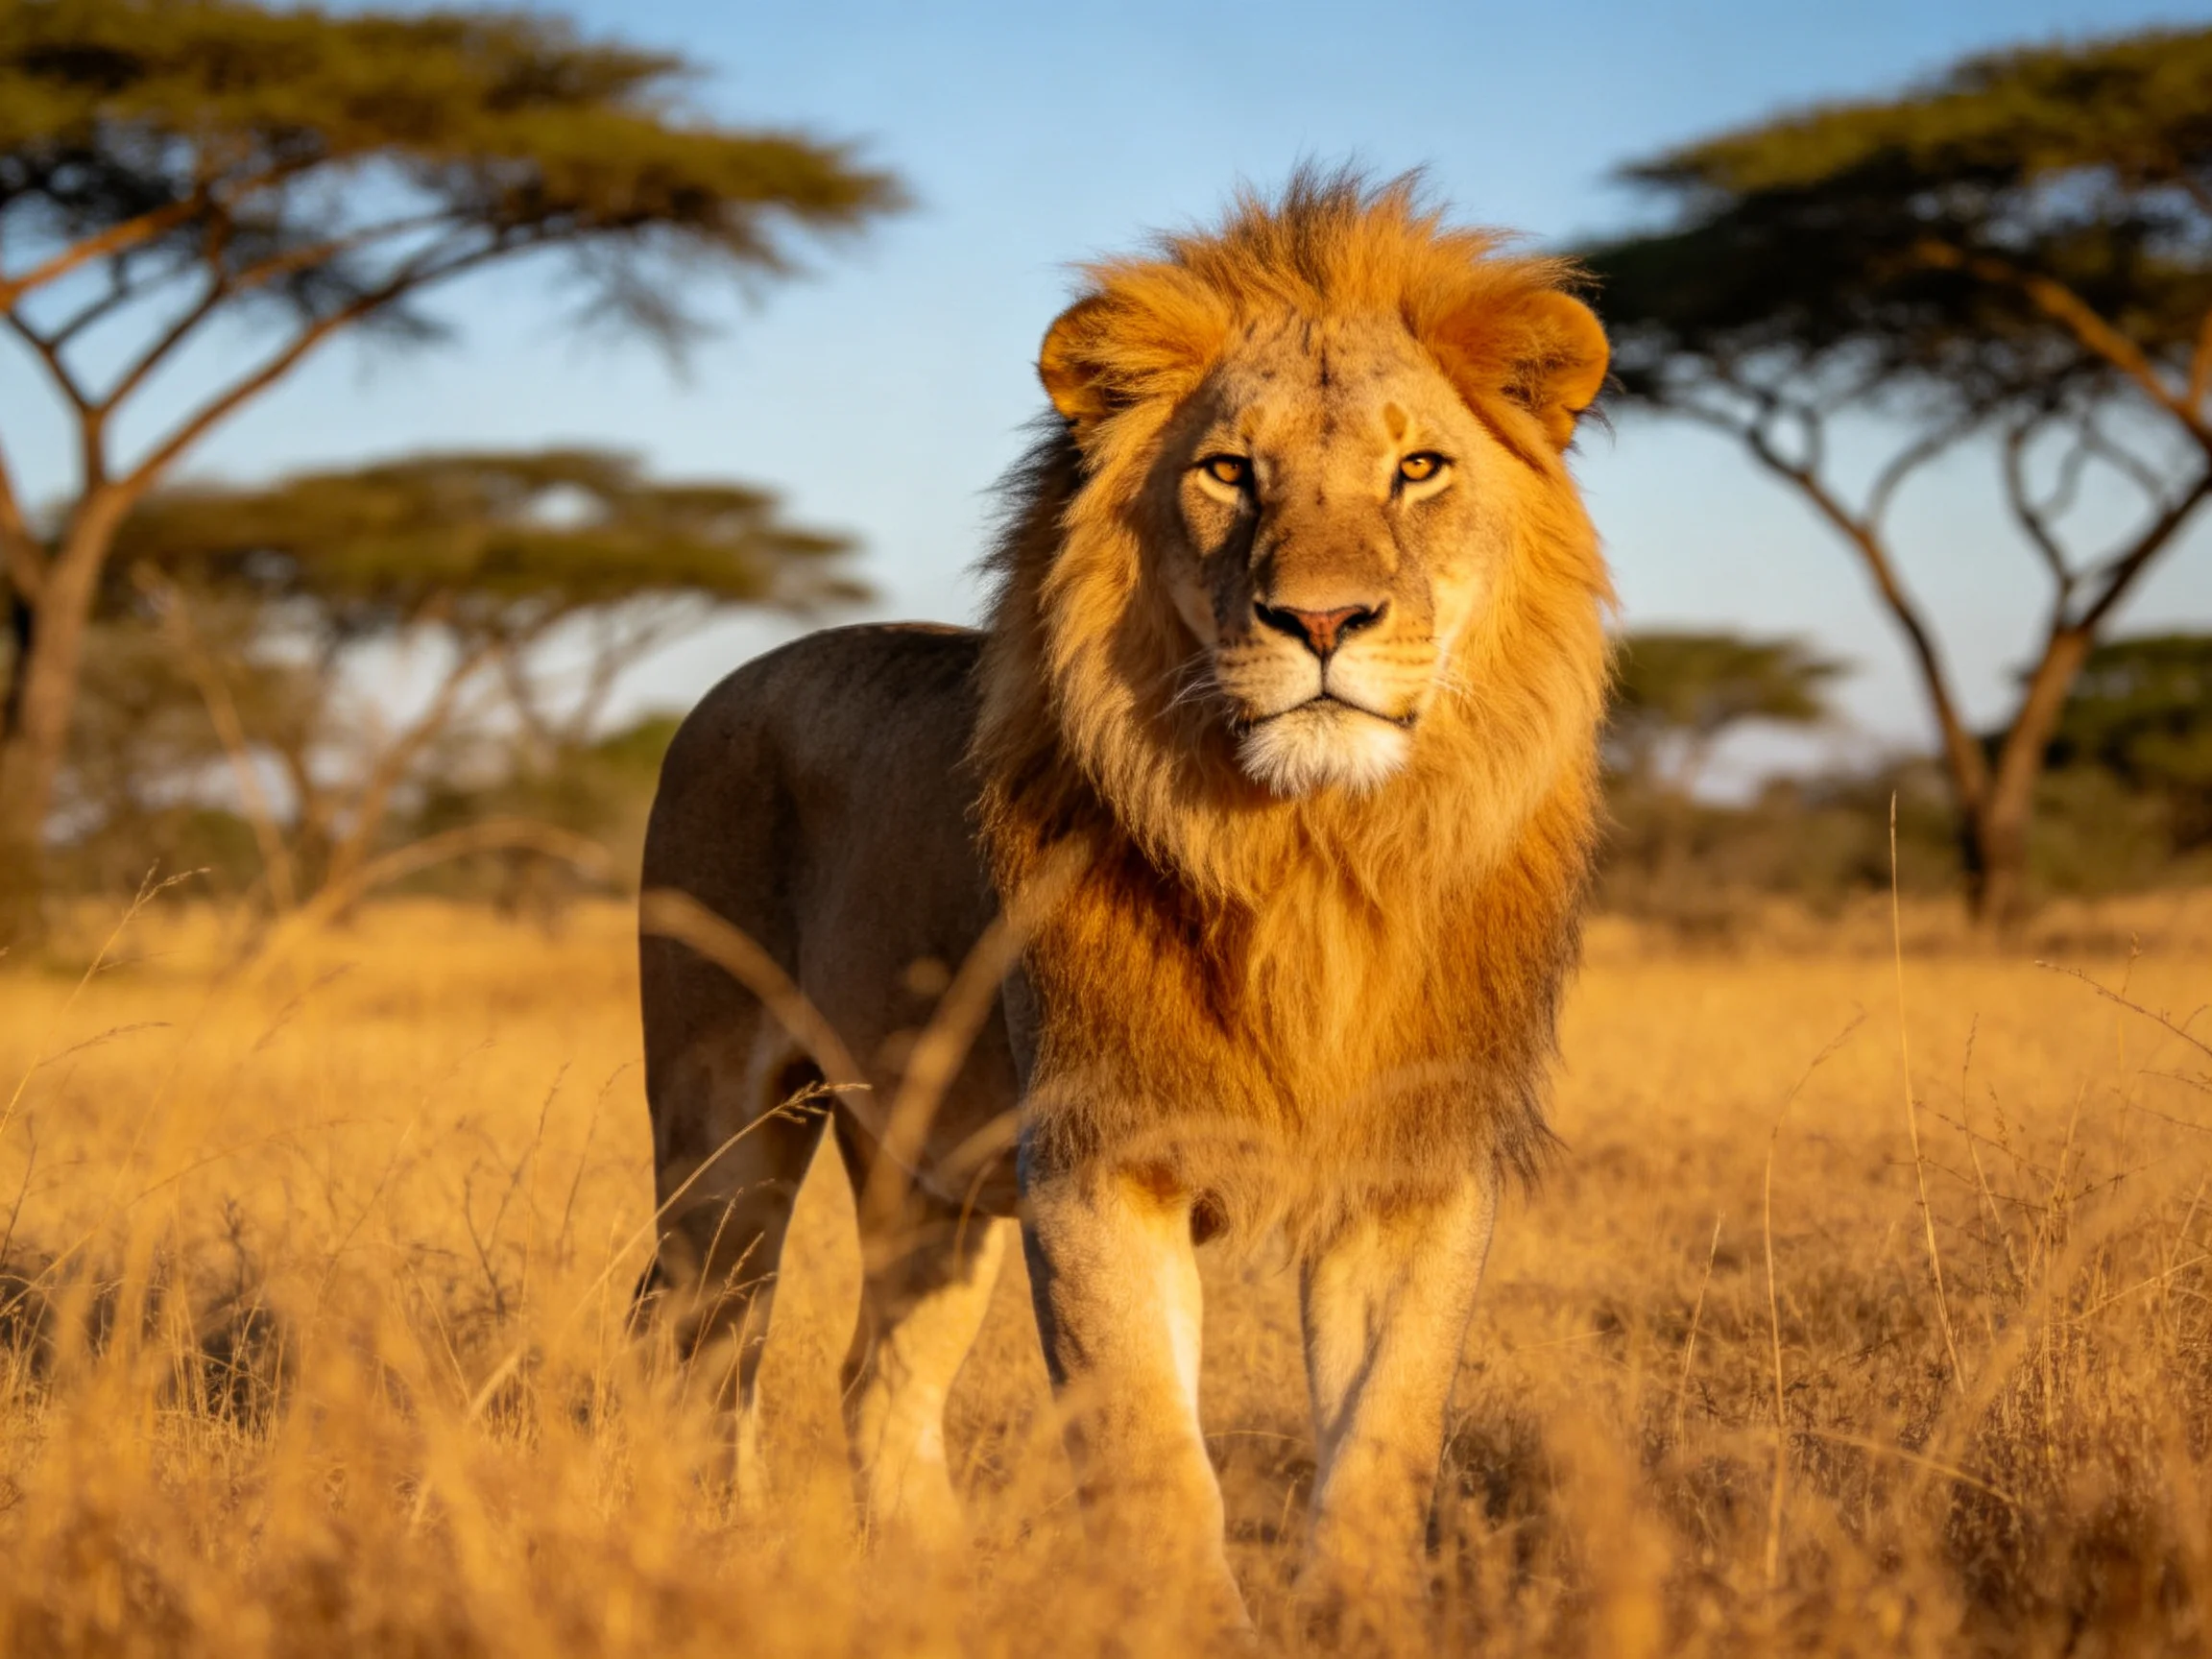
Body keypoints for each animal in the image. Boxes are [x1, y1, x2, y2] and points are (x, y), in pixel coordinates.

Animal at [638, 171, 1612, 1623]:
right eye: (1229, 471)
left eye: (1419, 468)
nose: (1322, 622)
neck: (1311, 857)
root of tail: (734, 676)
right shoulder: (1099, 1160)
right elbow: (1152, 1455)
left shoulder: (1414, 1168)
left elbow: (1385, 1445)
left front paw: (1362, 1619)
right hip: (723, 1132)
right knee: (698, 1349)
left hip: (926, 1174)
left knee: (875, 1376)